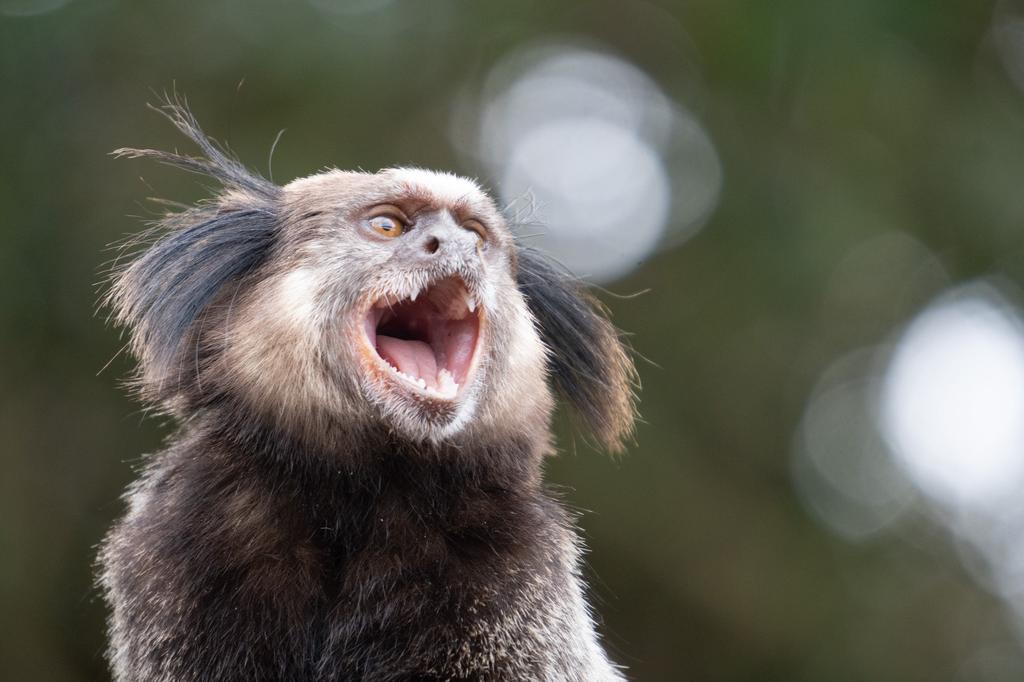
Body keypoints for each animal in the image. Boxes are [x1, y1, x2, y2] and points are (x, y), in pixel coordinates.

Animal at [98, 100, 637, 682]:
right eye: (387, 225)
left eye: (476, 235)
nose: (457, 247)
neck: (356, 501)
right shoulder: (179, 546)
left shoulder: (520, 582)